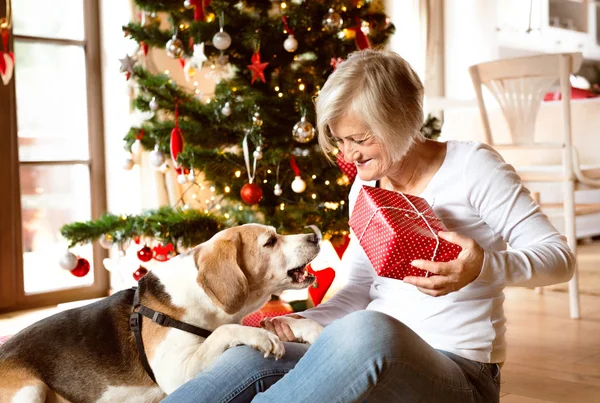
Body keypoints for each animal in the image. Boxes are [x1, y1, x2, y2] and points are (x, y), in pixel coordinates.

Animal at [0, 224, 322, 403]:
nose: (315, 236)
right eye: (270, 241)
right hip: (29, 390)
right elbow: (225, 331)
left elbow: (278, 320)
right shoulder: (177, 373)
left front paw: (311, 329)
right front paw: (261, 337)